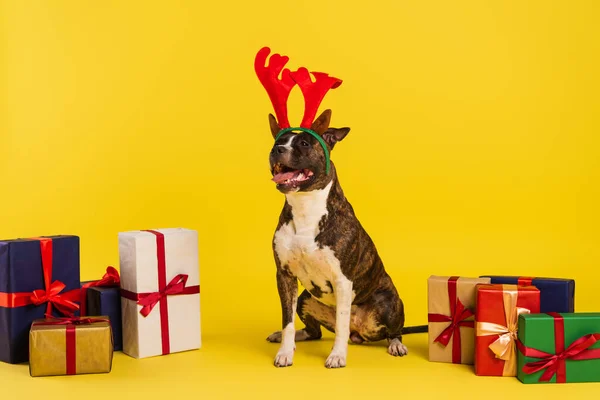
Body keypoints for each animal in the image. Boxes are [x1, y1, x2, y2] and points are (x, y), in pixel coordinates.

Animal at [255, 47, 424, 368]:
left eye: (304, 143)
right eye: (279, 140)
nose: (277, 150)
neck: (306, 207)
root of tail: (363, 333)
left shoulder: (343, 281)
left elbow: (343, 322)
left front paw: (337, 355)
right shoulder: (284, 275)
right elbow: (287, 321)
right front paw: (285, 351)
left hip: (388, 301)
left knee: (388, 330)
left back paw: (395, 344)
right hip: (306, 298)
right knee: (313, 331)